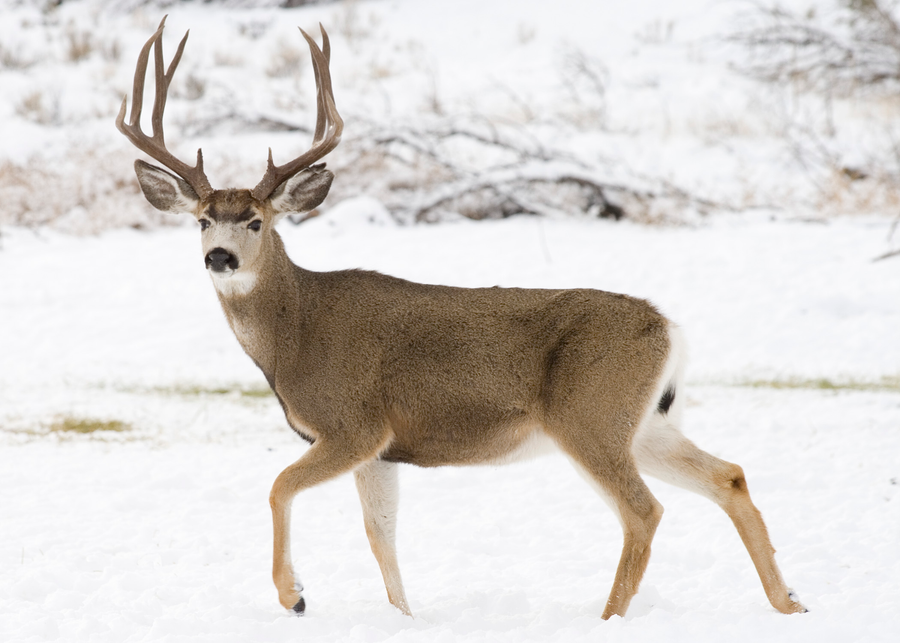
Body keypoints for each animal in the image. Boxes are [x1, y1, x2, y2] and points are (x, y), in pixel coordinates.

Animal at [117, 18, 807, 620]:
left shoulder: (353, 425)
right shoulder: (383, 450)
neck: (295, 334)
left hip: (589, 415)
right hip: (646, 421)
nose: (220, 257)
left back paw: (610, 617)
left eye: (257, 220)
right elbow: (381, 535)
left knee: (645, 511)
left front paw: (296, 597)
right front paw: (404, 618)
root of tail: (668, 328)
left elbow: (280, 486)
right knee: (730, 476)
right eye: (202, 219)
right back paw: (790, 601)